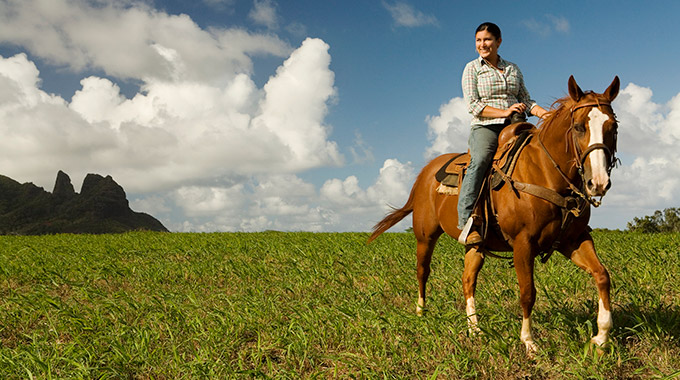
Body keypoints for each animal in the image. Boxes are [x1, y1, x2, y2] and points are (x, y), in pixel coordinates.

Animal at [370, 75, 620, 354]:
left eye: (613, 127)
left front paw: (601, 337)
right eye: (578, 127)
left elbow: (602, 276)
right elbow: (527, 292)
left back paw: (475, 329)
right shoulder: (523, 244)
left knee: (468, 280)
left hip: (475, 244)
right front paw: (529, 342)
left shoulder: (574, 240)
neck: (545, 172)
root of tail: (425, 172)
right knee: (423, 271)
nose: (598, 183)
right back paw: (421, 313)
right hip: (425, 237)